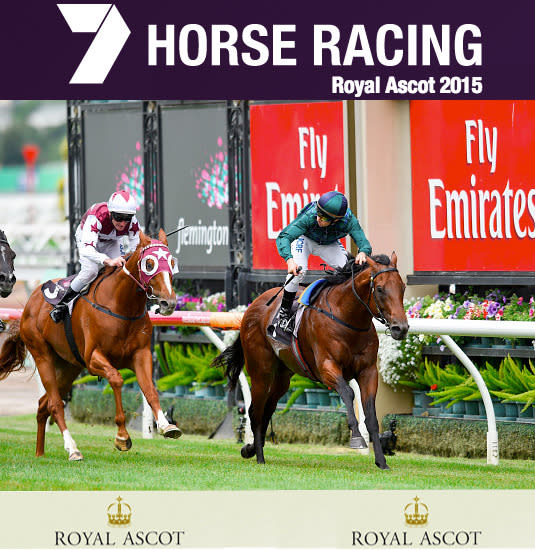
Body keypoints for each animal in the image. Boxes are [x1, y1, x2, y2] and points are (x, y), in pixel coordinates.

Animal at [0, 229, 181, 462]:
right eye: (149, 263)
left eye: (172, 262)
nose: (169, 302)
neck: (121, 306)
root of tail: (29, 304)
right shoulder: (94, 358)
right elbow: (116, 379)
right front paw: (122, 436)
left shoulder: (141, 355)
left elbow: (150, 390)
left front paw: (168, 426)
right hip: (42, 355)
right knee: (55, 404)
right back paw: (72, 449)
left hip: (68, 367)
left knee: (43, 405)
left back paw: (40, 452)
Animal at [211, 254, 408, 470]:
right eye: (379, 289)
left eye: (402, 287)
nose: (401, 328)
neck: (347, 318)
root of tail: (252, 306)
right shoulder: (327, 367)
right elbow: (348, 392)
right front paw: (356, 437)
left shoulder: (368, 371)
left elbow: (371, 415)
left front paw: (381, 461)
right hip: (261, 371)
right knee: (256, 411)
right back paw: (259, 456)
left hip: (283, 376)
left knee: (268, 409)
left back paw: (252, 448)